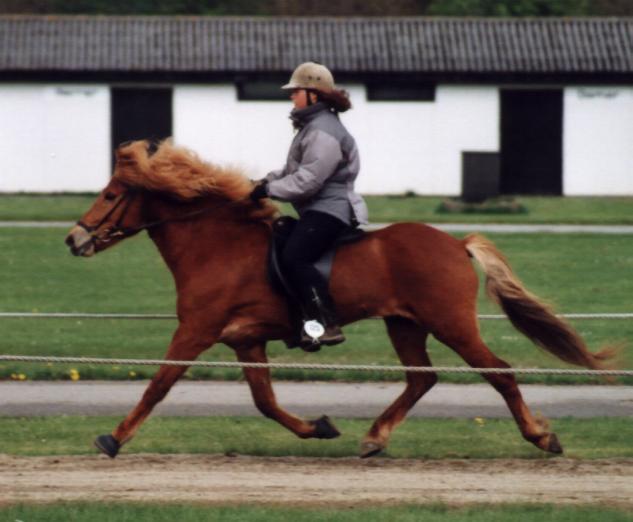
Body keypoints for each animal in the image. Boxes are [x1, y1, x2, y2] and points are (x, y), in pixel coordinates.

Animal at [65, 140, 612, 458]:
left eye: (111, 194)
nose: (74, 239)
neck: (217, 245)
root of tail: (456, 243)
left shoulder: (195, 332)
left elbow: (158, 385)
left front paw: (113, 438)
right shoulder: (245, 342)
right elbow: (265, 402)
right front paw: (319, 427)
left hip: (451, 323)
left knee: (498, 372)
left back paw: (542, 437)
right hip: (405, 324)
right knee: (422, 377)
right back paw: (374, 438)